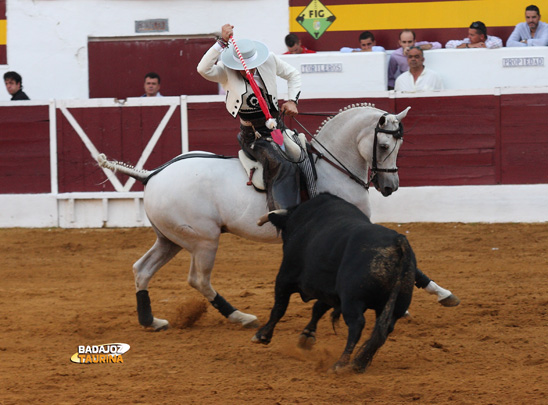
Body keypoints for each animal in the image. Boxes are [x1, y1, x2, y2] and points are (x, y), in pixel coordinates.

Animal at [97, 102, 458, 330]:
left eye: (400, 145)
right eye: (383, 146)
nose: (390, 186)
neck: (332, 166)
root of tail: (153, 174)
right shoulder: (355, 227)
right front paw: (432, 297)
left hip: (170, 239)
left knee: (142, 269)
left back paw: (150, 320)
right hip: (203, 240)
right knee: (198, 279)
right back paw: (240, 317)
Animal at [255, 193, 414, 372]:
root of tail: (398, 241)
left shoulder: (285, 277)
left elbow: (279, 308)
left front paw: (262, 335)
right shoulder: (330, 292)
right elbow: (318, 308)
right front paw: (307, 336)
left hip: (352, 300)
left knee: (357, 324)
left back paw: (340, 364)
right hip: (396, 305)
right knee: (384, 330)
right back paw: (359, 363)